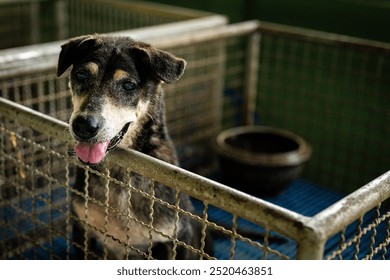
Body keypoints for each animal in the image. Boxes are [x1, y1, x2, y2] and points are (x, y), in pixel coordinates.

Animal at [56, 35, 212, 260]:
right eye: (81, 75)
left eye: (128, 85)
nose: (84, 125)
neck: (119, 176)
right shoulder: (81, 229)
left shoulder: (180, 237)